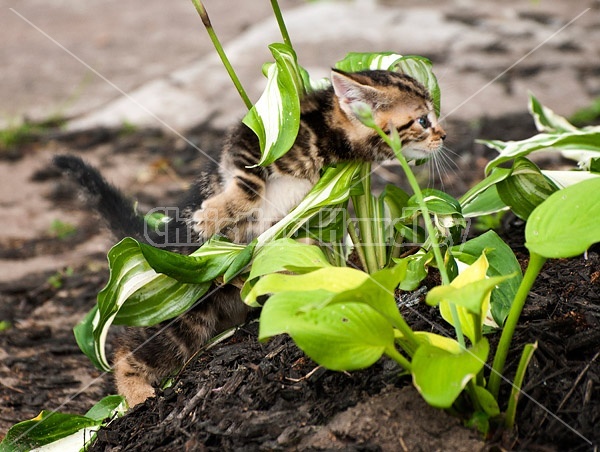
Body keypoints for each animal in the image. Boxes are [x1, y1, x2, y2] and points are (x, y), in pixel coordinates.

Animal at [54, 69, 446, 408]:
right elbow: (250, 183)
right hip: (180, 312)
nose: (444, 135)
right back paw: (137, 396)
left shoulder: (317, 201)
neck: (327, 137)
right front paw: (212, 216)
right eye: (423, 121)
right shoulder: (257, 137)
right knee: (125, 352)